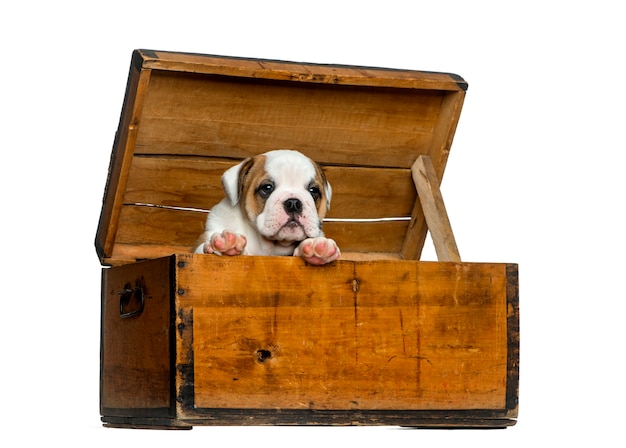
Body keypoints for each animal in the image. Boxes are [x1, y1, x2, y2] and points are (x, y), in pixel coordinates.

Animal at [195, 149, 342, 264]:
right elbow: (202, 248)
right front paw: (228, 243)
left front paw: (318, 246)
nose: (293, 203)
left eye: (313, 191)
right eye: (267, 187)